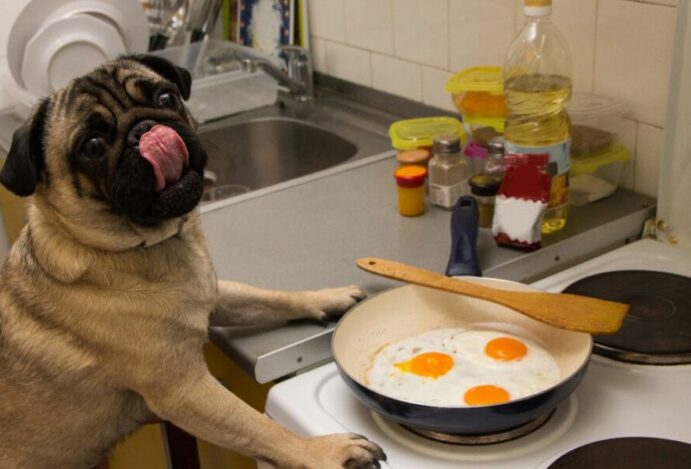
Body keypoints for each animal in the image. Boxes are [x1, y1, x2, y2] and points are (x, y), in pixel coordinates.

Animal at [0, 55, 385, 469]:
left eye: (166, 97)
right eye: (92, 146)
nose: (145, 129)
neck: (152, 246)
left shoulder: (214, 294)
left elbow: (267, 297)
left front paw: (327, 297)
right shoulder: (186, 392)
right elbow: (258, 426)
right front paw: (323, 450)